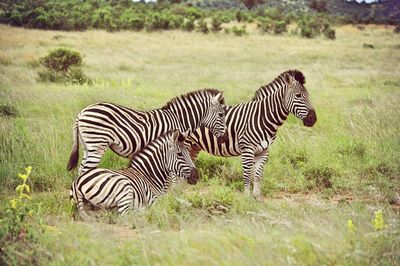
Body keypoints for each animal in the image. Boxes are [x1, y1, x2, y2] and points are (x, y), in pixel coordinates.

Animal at [67, 89, 227, 176]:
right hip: (97, 144)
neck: (179, 119)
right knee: (86, 170)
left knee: (81, 170)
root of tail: (82, 112)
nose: (224, 139)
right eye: (221, 115)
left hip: (88, 146)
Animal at [70, 129, 198, 220]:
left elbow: (180, 201)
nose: (196, 176)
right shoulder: (154, 199)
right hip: (124, 186)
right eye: (179, 154)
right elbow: (166, 205)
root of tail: (78, 182)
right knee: (126, 214)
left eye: (187, 153)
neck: (149, 176)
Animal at [186, 69, 318, 198]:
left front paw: (257, 197)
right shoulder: (247, 150)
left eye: (308, 95)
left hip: (194, 146)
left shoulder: (263, 151)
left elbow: (258, 175)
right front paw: (247, 198)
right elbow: (247, 174)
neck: (262, 118)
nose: (313, 119)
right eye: (298, 95)